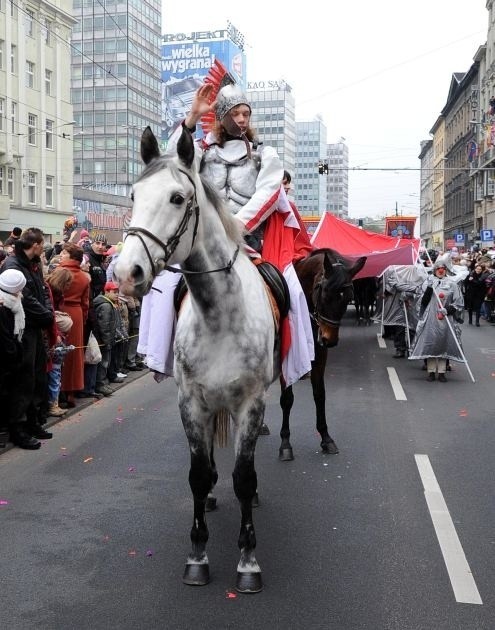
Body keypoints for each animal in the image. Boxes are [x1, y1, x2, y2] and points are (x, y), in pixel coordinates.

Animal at [116, 127, 280, 592]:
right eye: (133, 195)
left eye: (176, 198)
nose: (124, 273)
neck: (219, 315)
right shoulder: (190, 401)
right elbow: (197, 473)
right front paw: (197, 555)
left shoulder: (251, 403)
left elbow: (243, 476)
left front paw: (248, 561)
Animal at [280, 249, 366, 462]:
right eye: (325, 294)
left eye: (348, 298)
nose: (329, 340)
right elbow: (287, 399)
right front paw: (285, 442)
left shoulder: (319, 357)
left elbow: (320, 395)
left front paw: (326, 438)